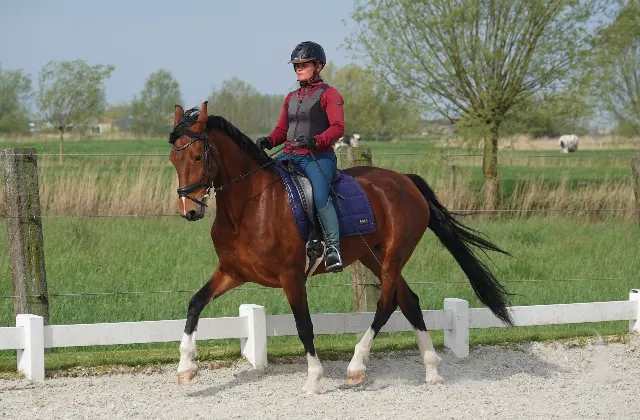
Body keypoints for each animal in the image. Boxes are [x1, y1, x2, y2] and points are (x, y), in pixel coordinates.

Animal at [168, 101, 514, 394]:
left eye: (197, 157)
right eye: (174, 159)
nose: (190, 210)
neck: (251, 206)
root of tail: (404, 180)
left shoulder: (292, 277)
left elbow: (304, 326)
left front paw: (313, 379)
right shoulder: (232, 272)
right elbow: (195, 304)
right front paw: (185, 367)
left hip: (394, 255)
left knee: (387, 302)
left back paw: (356, 367)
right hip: (374, 257)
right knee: (409, 301)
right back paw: (431, 371)